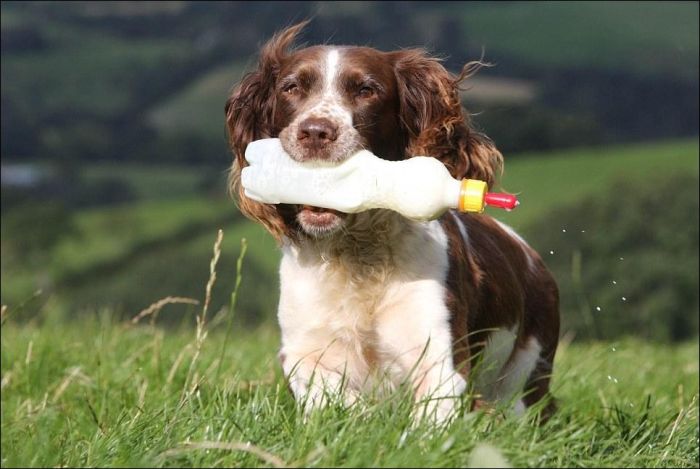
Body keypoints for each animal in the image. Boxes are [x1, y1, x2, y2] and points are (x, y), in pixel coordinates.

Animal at [227, 22, 560, 422]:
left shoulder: (439, 358)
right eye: (291, 88)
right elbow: (336, 402)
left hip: (527, 371)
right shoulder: (303, 351)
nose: (316, 132)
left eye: (366, 90)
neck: (357, 256)